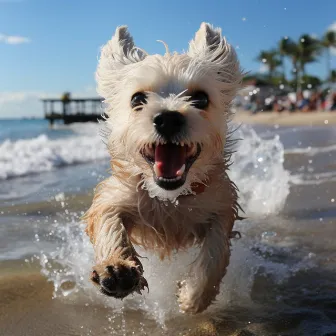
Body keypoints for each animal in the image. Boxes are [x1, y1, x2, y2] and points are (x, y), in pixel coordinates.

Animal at [83, 22, 242, 314]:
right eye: (137, 99)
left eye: (201, 99)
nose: (168, 118)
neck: (169, 198)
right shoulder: (115, 194)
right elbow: (108, 221)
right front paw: (118, 268)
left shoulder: (220, 201)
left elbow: (216, 249)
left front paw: (195, 295)